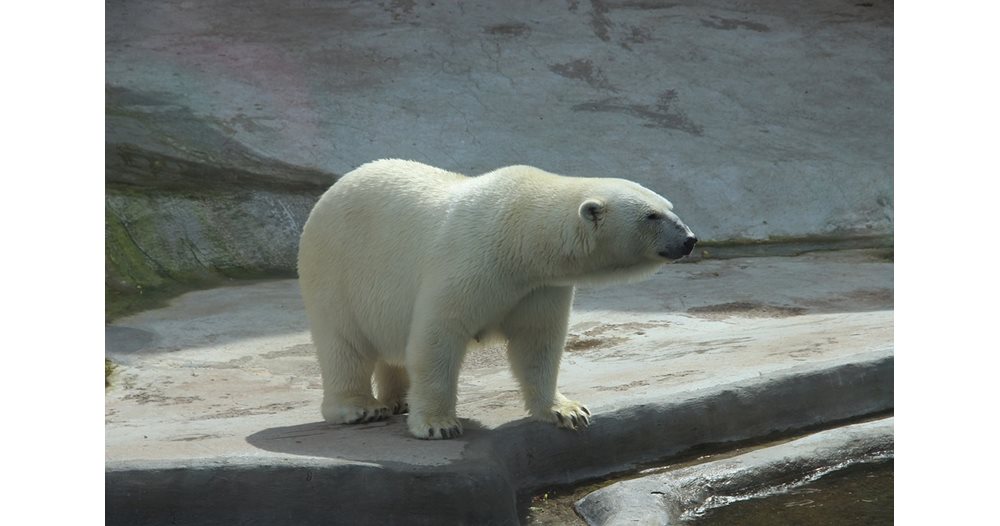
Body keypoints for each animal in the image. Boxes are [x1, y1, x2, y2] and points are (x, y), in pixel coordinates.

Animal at [298, 161, 696, 442]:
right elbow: (437, 336)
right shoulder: (470, 262)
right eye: (651, 215)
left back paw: (400, 399)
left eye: (669, 206)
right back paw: (360, 408)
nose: (690, 239)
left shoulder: (539, 287)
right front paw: (439, 424)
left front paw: (567, 411)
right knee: (344, 343)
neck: (519, 235)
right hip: (336, 268)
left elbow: (537, 343)